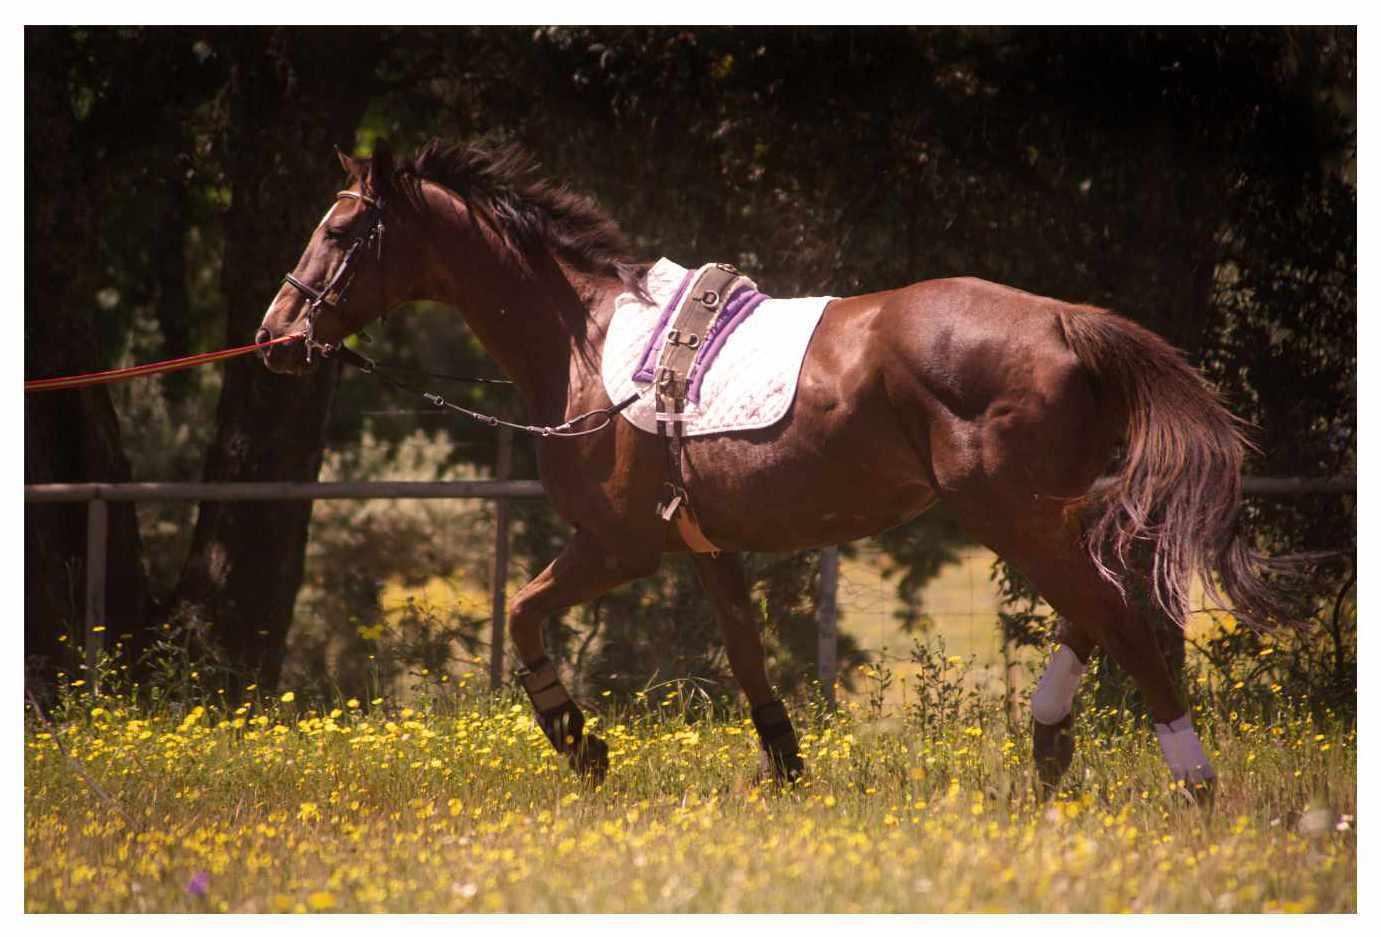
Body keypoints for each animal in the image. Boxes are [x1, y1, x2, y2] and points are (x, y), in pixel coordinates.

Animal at [257, 138, 1296, 798]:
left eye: (341, 233)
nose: (274, 336)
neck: (584, 343)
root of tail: (1063, 318)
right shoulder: (704, 548)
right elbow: (748, 653)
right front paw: (784, 766)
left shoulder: (618, 546)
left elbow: (520, 613)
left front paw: (579, 742)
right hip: (1048, 515)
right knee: (1108, 601)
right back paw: (1049, 740)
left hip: (1013, 516)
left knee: (1120, 614)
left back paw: (1190, 781)